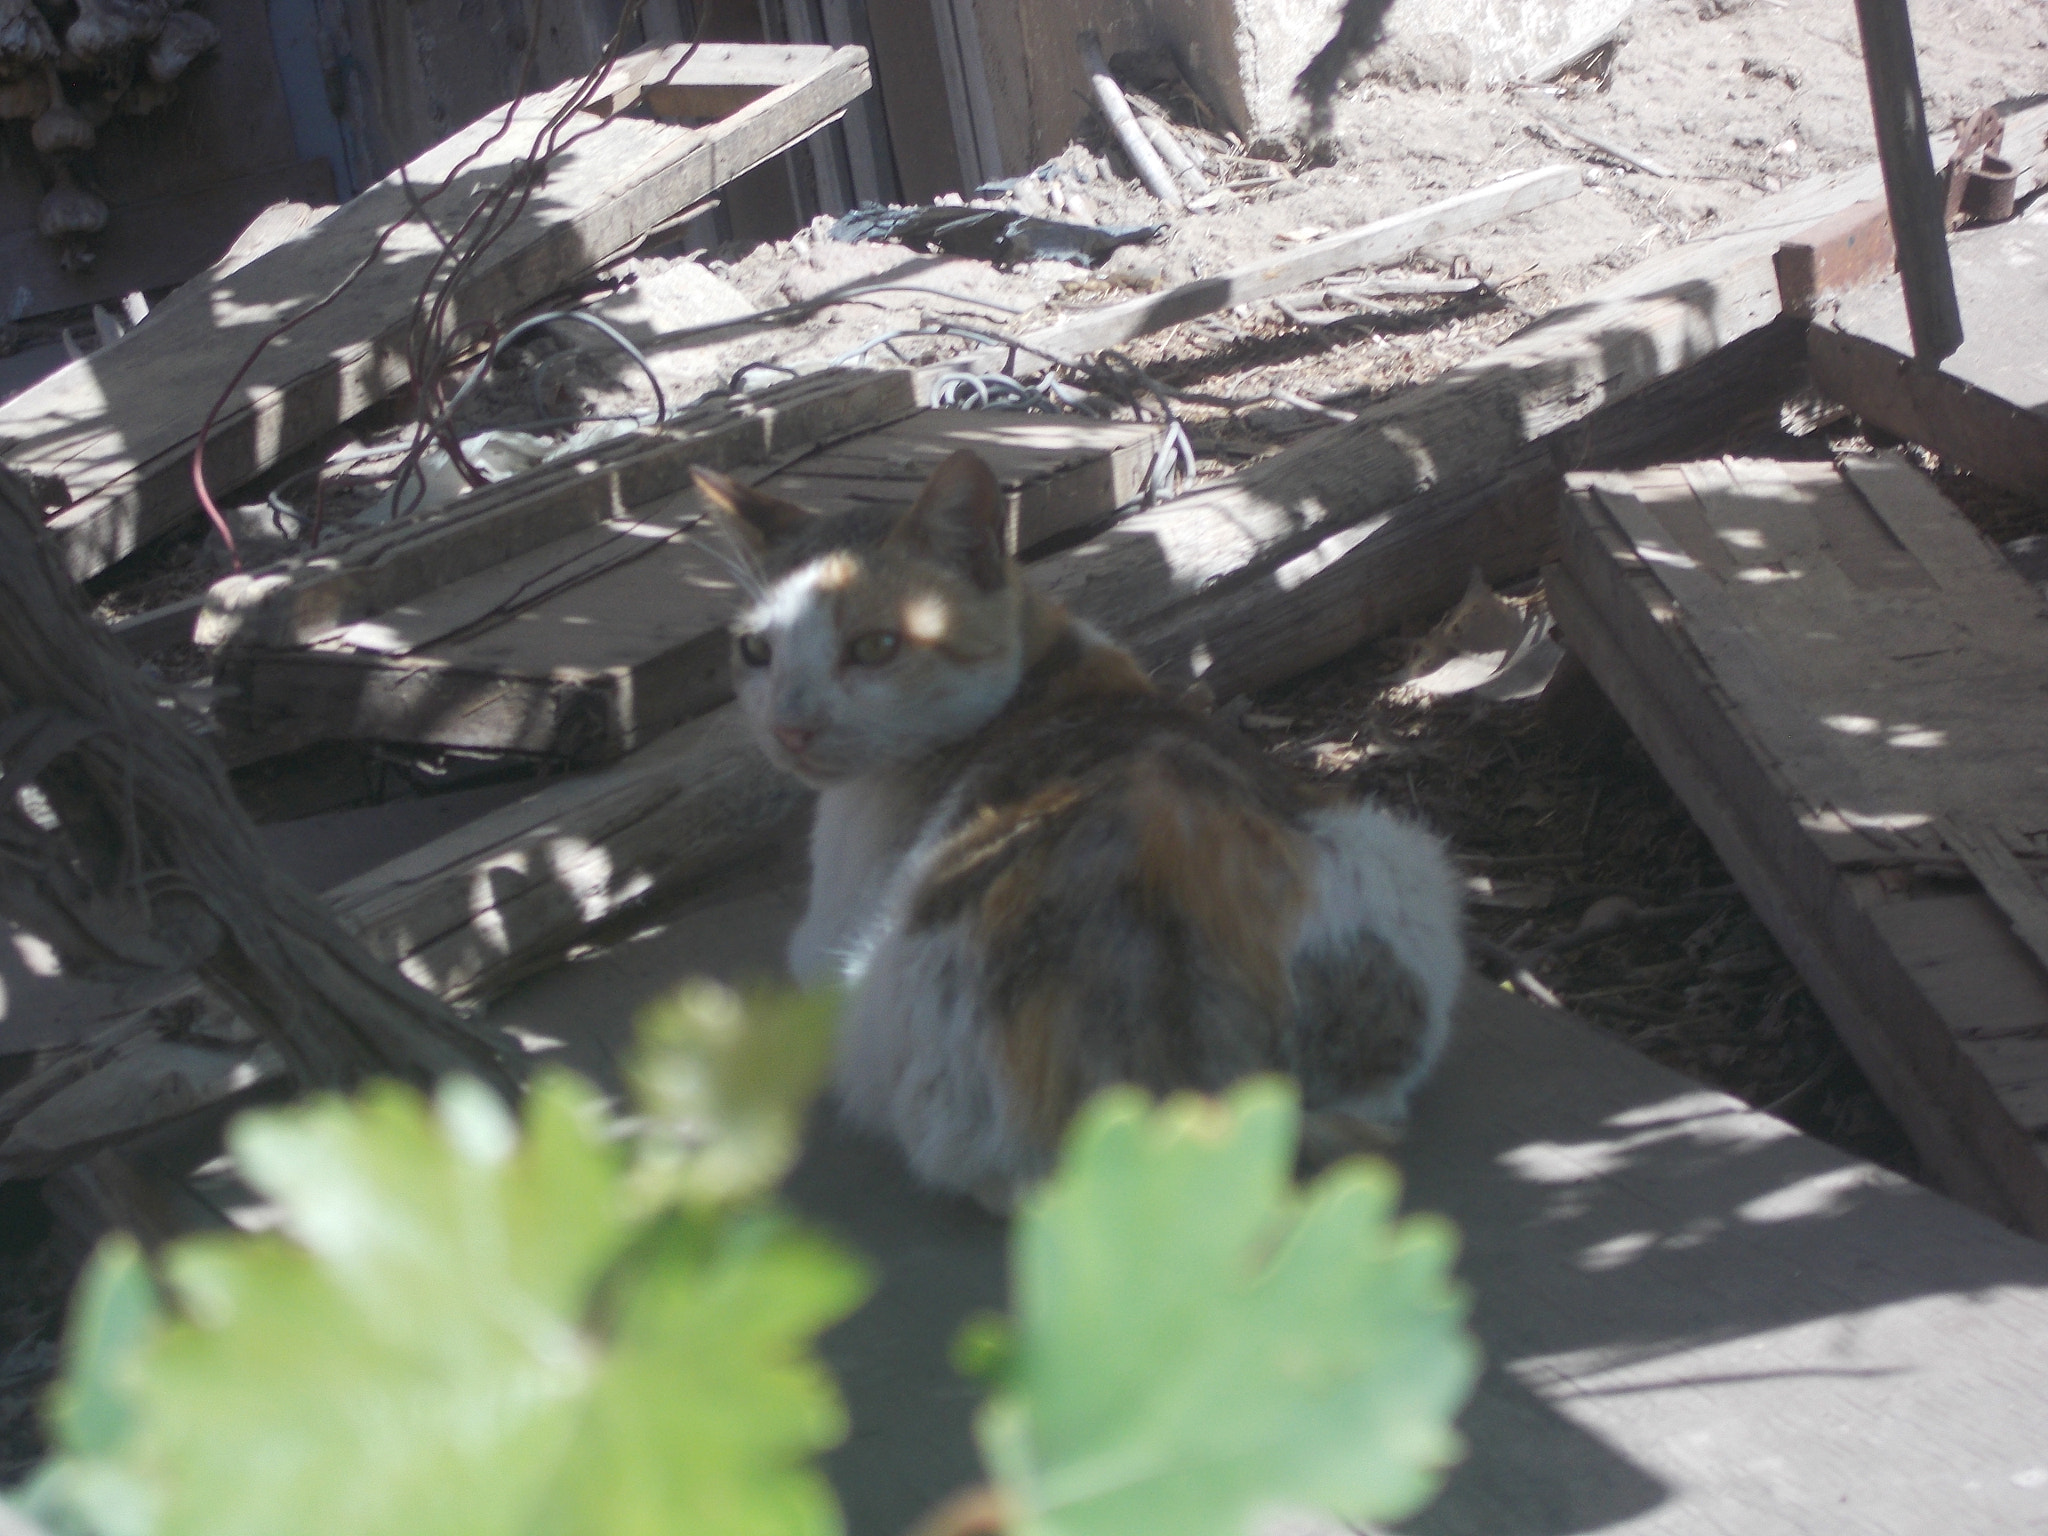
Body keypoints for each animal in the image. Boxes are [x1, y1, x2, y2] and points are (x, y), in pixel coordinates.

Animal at [696, 450, 1466, 1212]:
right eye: (756, 651)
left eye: (876, 647)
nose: (789, 727)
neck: (1043, 663)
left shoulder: (823, 943)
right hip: (1402, 854)